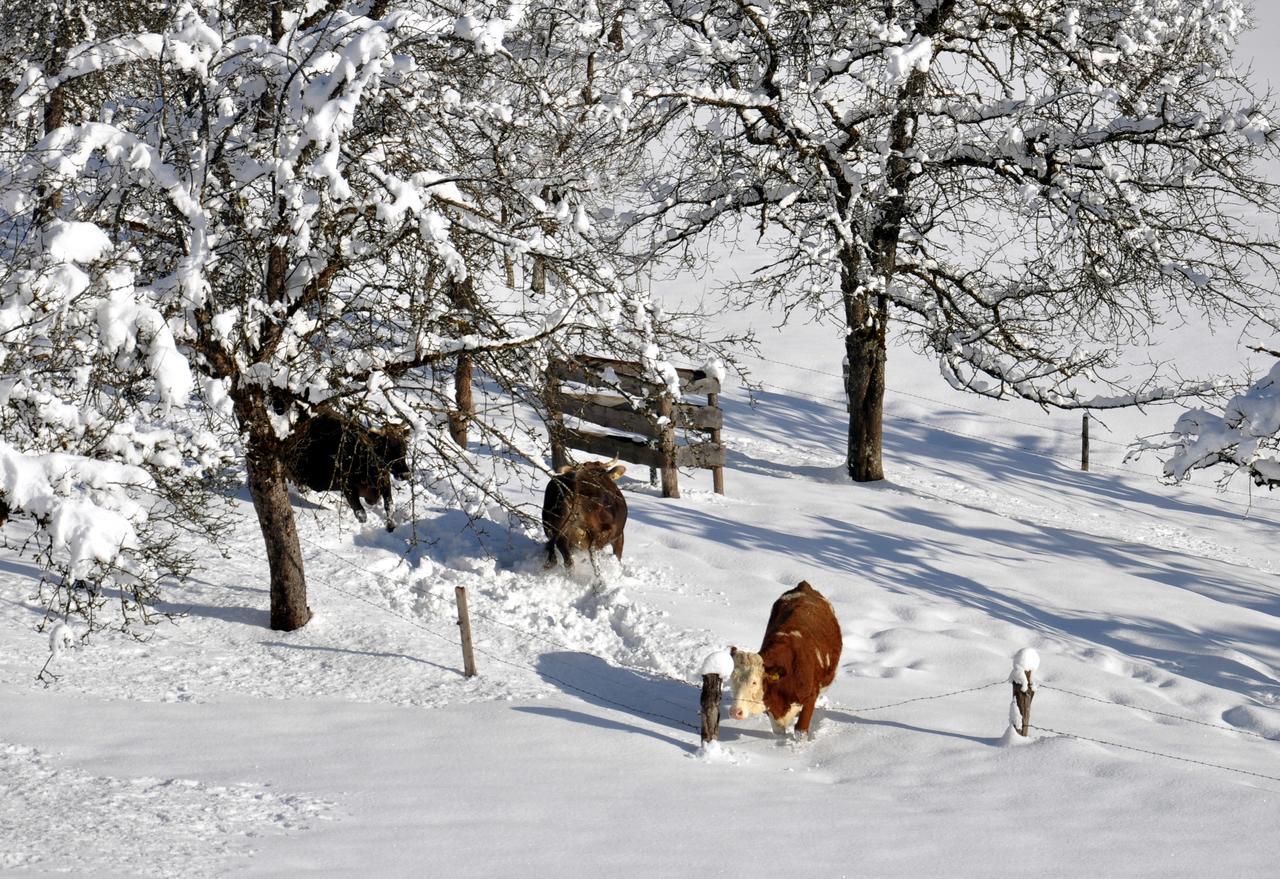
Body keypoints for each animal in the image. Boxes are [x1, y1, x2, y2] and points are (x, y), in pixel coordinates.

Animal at [732, 583, 839, 736]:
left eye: (754, 682)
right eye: (731, 679)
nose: (735, 712)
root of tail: (804, 586)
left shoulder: (810, 697)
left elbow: (800, 731)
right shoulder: (772, 708)